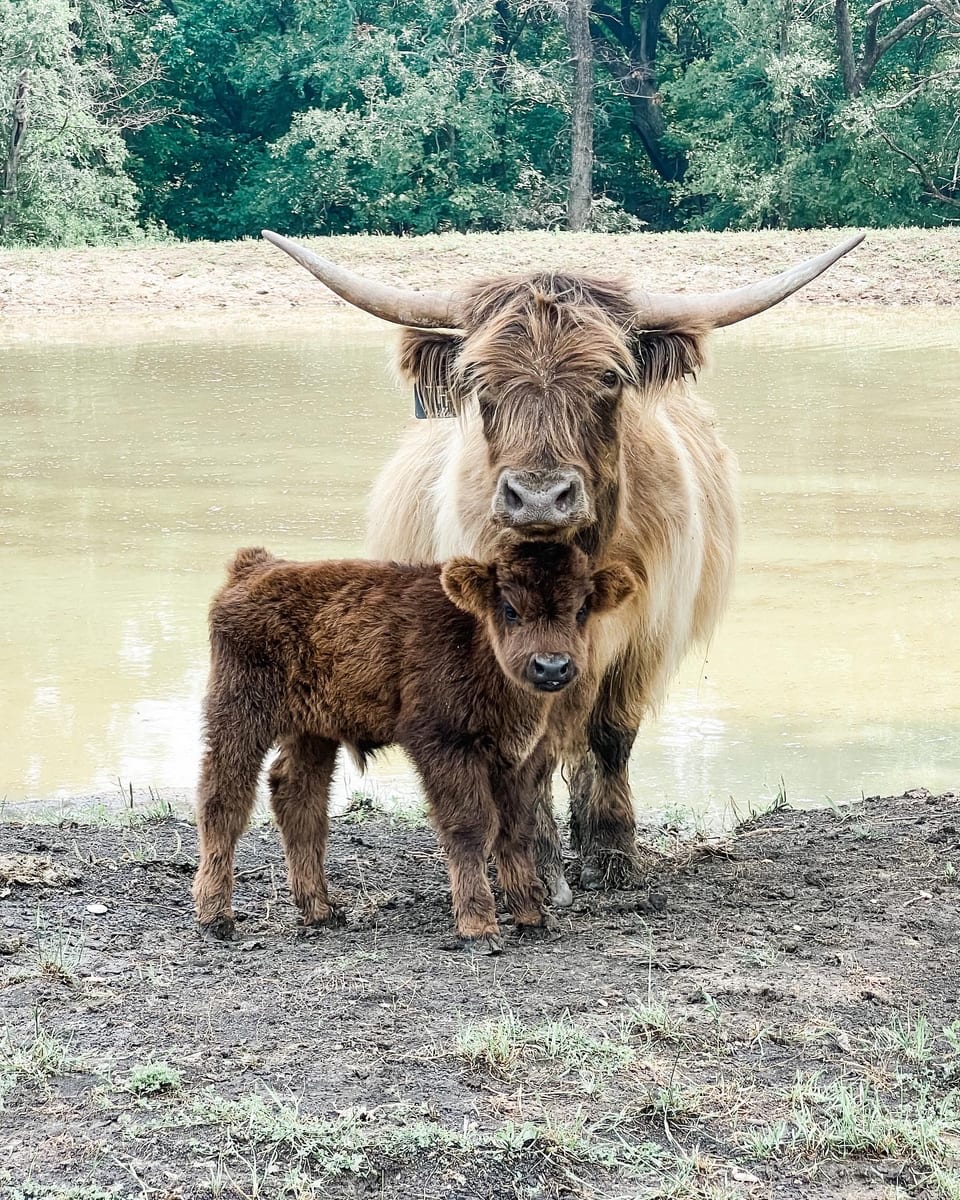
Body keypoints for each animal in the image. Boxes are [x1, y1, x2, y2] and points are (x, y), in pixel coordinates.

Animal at [192, 542, 637, 950]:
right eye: (510, 609)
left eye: (581, 610)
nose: (551, 666)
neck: (476, 643)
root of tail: (254, 566)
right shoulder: (445, 746)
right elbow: (471, 826)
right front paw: (479, 927)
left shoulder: (521, 757)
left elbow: (517, 829)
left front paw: (532, 916)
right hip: (238, 715)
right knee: (223, 801)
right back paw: (216, 917)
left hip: (313, 732)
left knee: (299, 800)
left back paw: (322, 910)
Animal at [262, 229, 864, 905]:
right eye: (479, 379)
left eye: (608, 375)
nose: (539, 496)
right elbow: (526, 749)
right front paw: (538, 868)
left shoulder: (644, 637)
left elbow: (610, 737)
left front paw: (612, 856)